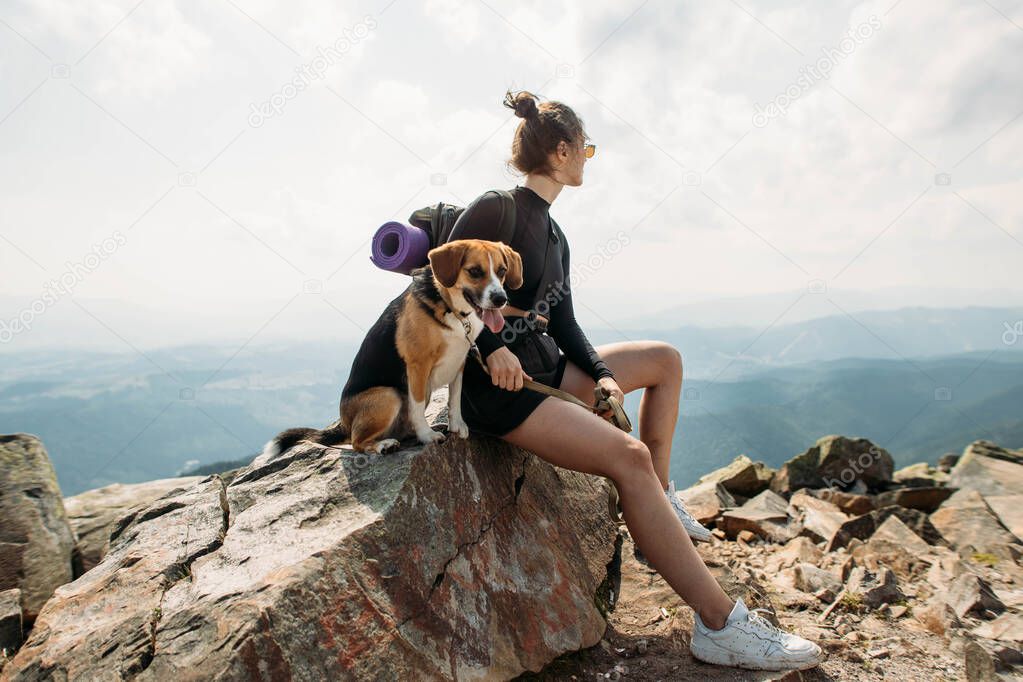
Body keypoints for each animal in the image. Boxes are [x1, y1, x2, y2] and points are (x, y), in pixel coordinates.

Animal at [259, 237, 523, 462]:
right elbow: (418, 408)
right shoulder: (417, 365)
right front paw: (427, 436)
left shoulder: (459, 361)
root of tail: (344, 423)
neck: (450, 307)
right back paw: (384, 445)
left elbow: (455, 398)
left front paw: (456, 426)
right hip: (389, 395)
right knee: (357, 442)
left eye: (502, 271)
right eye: (475, 271)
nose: (500, 299)